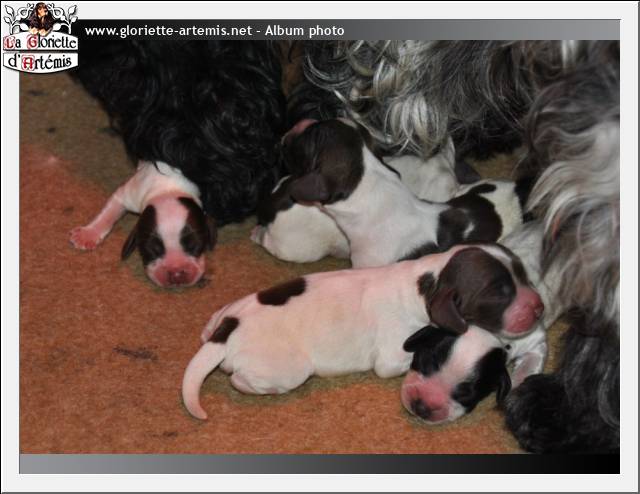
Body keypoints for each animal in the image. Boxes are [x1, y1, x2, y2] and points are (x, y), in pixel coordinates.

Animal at [69, 160, 216, 287]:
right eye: (152, 249)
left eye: (195, 245)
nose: (176, 273)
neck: (168, 188)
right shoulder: (127, 194)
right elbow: (108, 213)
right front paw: (88, 234)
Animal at [181, 244, 544, 419]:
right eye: (499, 293)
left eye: (522, 275)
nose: (540, 308)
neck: (427, 282)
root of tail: (226, 332)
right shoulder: (393, 356)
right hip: (289, 370)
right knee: (240, 379)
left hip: (227, 312)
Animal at [306, 40, 619, 452]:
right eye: (428, 362)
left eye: (468, 391)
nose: (423, 406)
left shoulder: (534, 342)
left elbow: (531, 363)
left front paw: (528, 396)